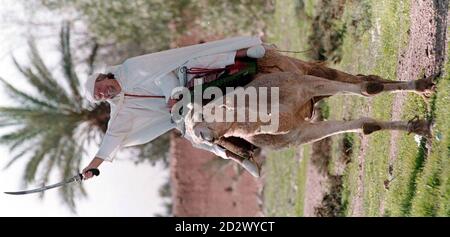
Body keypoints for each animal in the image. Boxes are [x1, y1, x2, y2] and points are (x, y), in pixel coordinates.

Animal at [184, 45, 436, 174]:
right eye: (197, 141)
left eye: (203, 113)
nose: (204, 135)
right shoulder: (302, 133)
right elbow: (366, 125)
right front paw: (420, 127)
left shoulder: (306, 84)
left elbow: (368, 89)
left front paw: (422, 96)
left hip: (309, 70)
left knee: (362, 80)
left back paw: (422, 87)